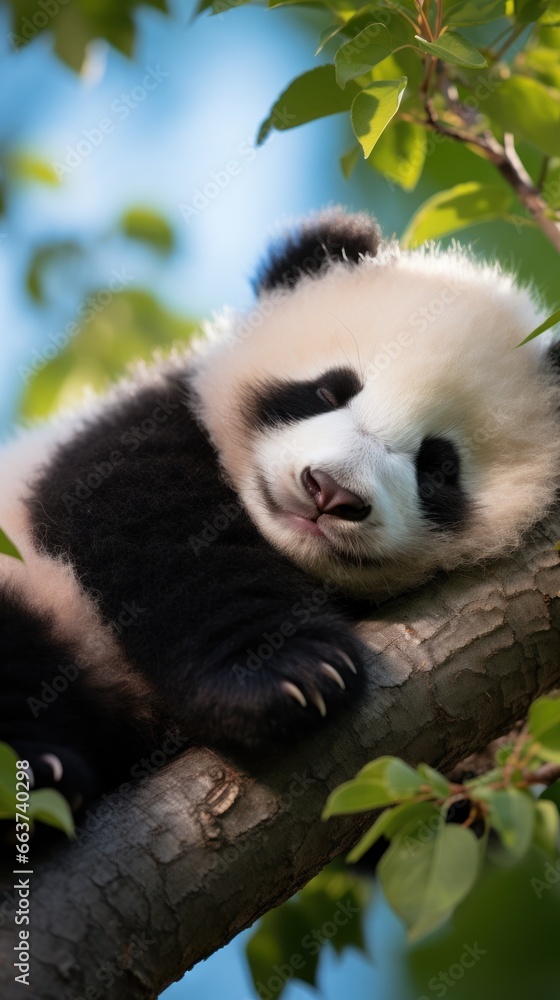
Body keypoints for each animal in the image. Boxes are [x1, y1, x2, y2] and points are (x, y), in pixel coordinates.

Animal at [1, 211, 560, 812]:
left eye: (438, 467)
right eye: (329, 391)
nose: (330, 492)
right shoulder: (134, 433)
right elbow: (162, 539)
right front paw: (287, 676)